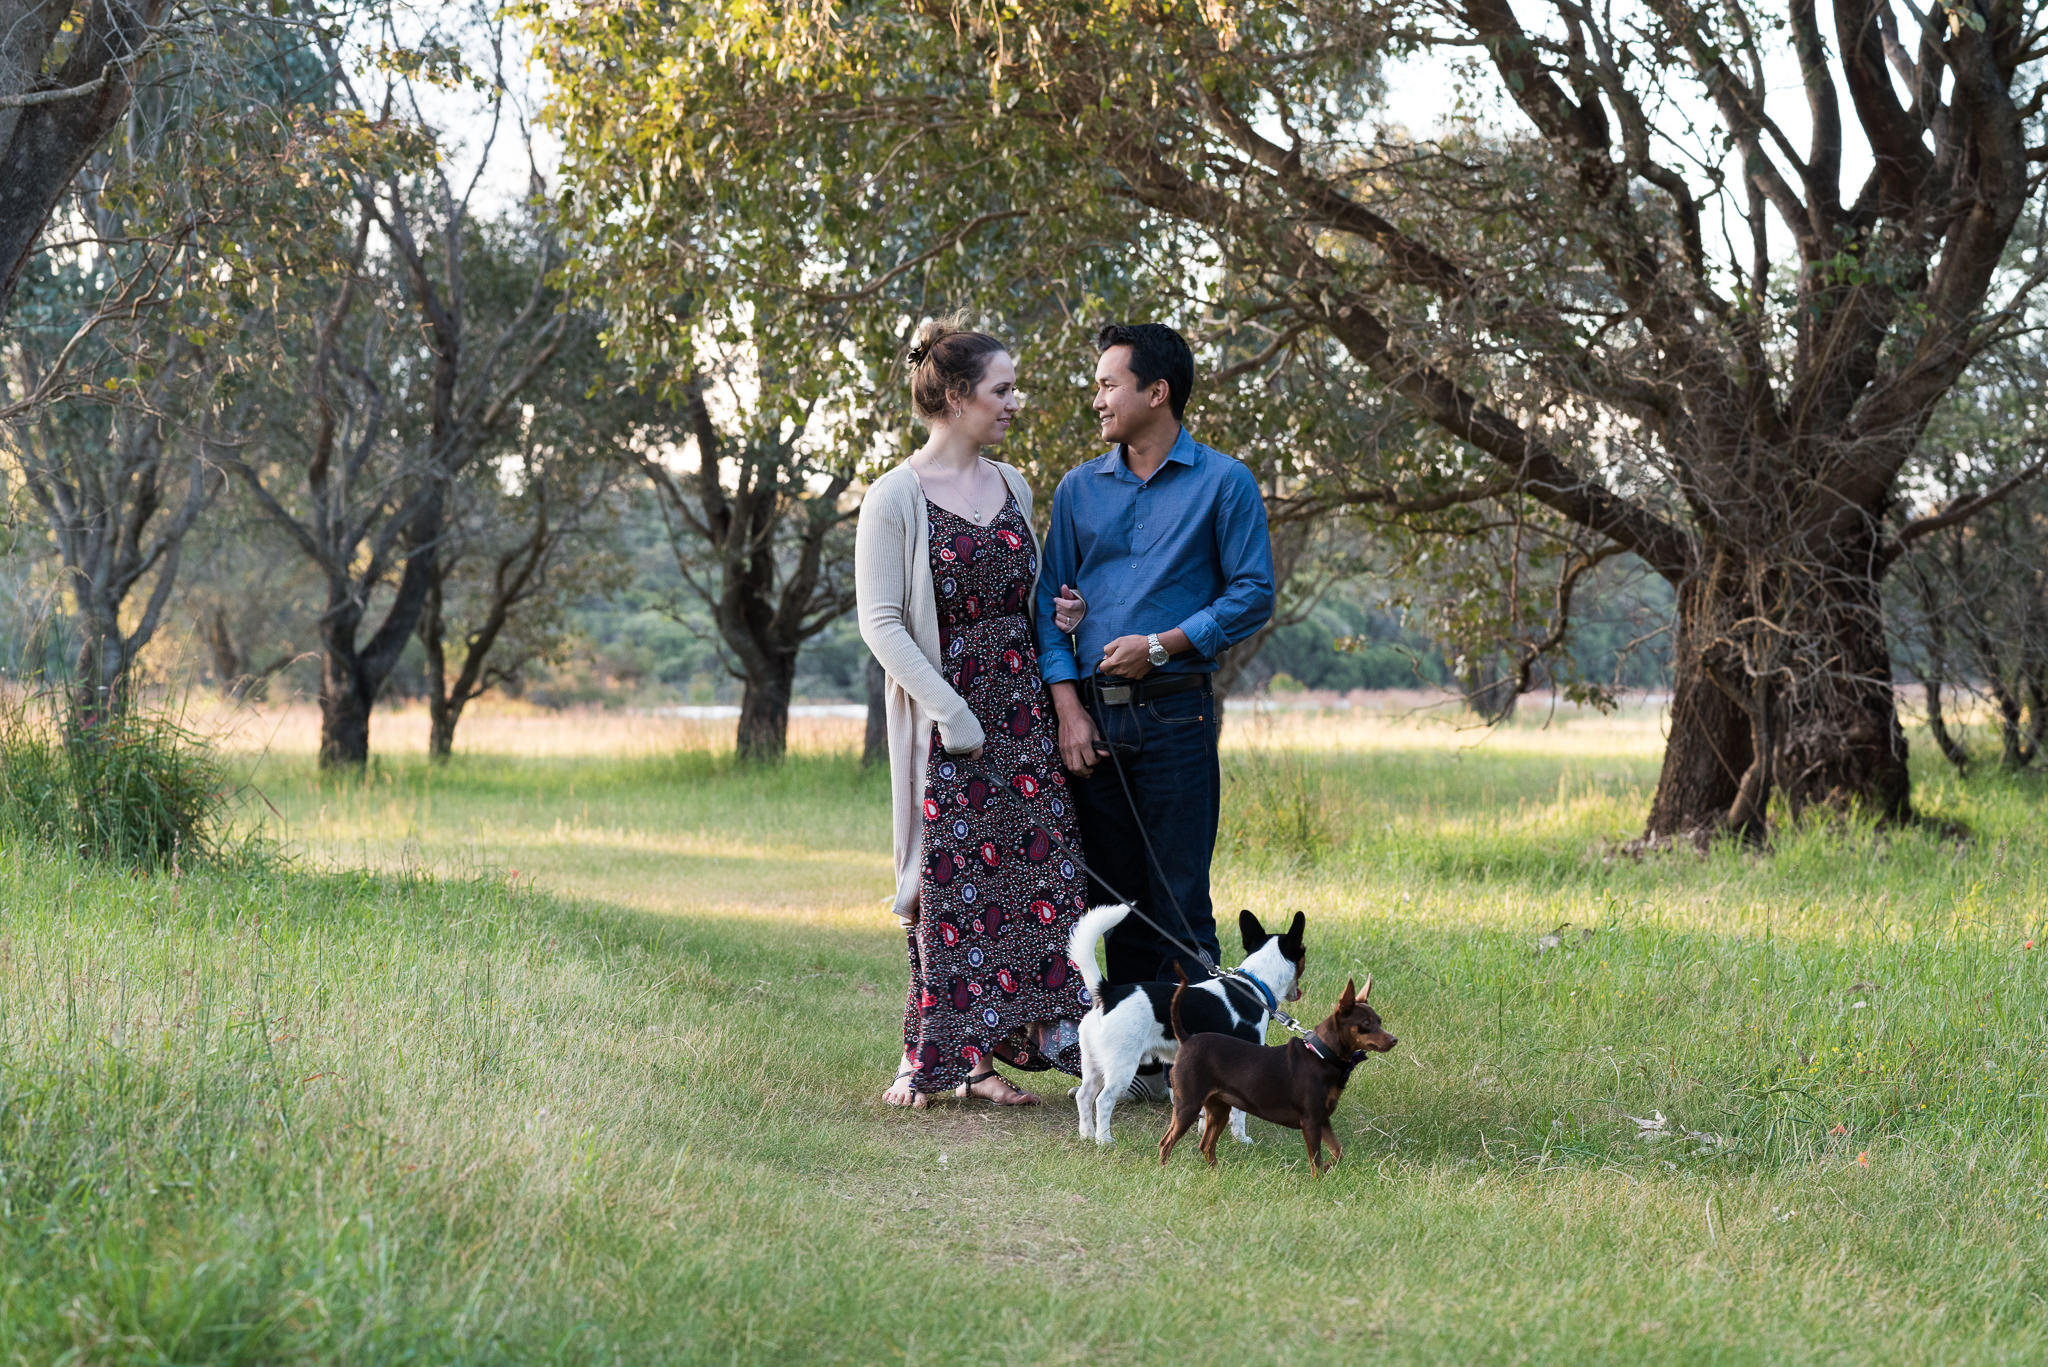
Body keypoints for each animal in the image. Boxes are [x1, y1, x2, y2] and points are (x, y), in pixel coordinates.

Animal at [1064, 909, 1302, 1147]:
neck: (1254, 985)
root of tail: (1108, 993)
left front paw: (1204, 1131)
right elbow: (1238, 1113)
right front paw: (1241, 1139)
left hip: (1093, 1063)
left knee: (1084, 1096)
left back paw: (1086, 1135)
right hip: (1122, 1065)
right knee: (1103, 1101)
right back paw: (1104, 1140)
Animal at [1163, 971, 1400, 1180]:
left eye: (1379, 1021)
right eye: (1366, 1024)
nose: (1394, 1039)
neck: (1321, 1055)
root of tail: (1187, 1039)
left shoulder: (1323, 1119)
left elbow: (1338, 1151)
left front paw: (1327, 1168)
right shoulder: (1311, 1121)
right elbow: (1315, 1159)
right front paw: (1318, 1182)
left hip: (1219, 1108)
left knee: (1206, 1146)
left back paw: (1216, 1174)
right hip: (1188, 1106)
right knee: (1166, 1143)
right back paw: (1164, 1170)